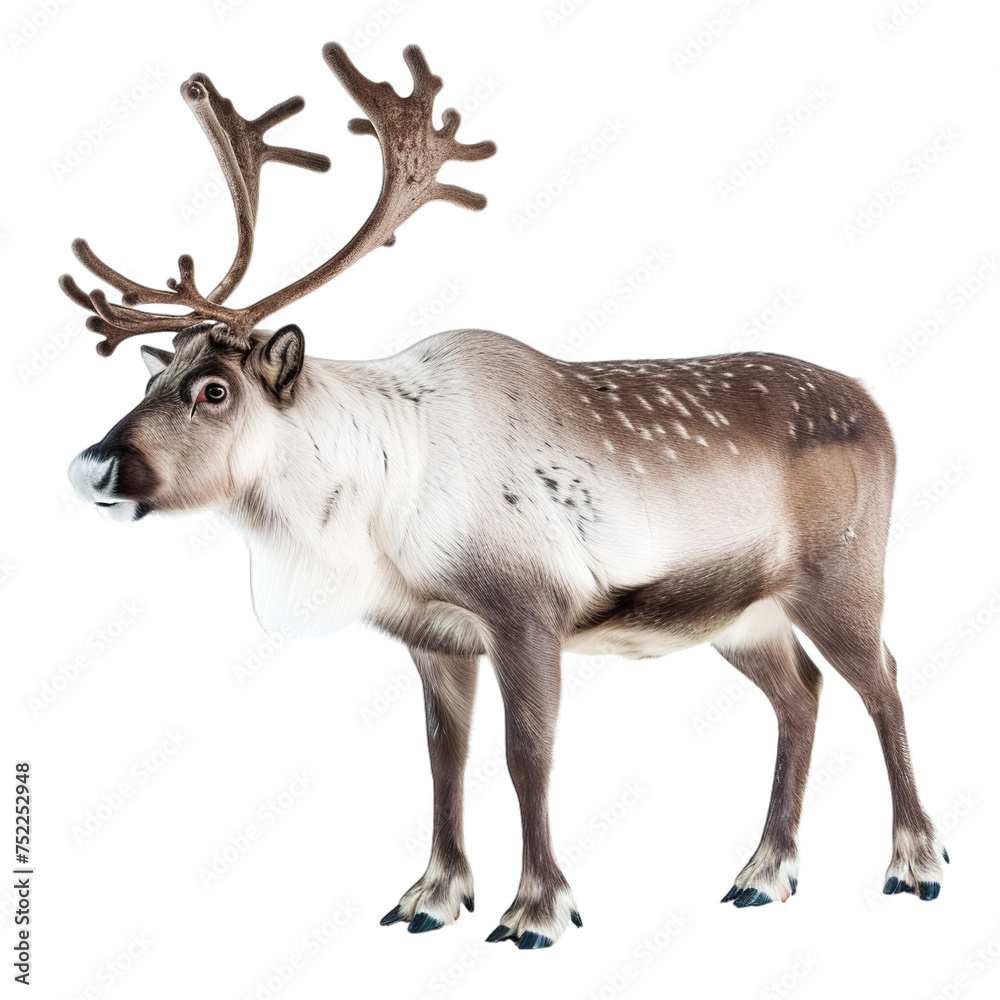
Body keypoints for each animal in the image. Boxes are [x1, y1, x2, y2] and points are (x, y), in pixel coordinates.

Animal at [64, 41, 947, 950]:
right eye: (153, 379)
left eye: (213, 389)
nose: (94, 464)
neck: (375, 510)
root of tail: (879, 409)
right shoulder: (435, 635)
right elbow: (442, 758)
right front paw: (432, 895)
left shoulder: (528, 609)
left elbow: (528, 754)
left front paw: (538, 910)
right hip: (742, 615)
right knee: (801, 694)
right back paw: (764, 874)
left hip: (841, 576)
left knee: (884, 679)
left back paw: (914, 863)